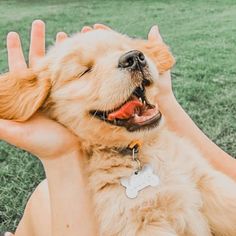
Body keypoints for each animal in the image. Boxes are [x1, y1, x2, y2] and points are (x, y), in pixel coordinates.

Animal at [0, 28, 236, 235]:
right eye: (84, 70)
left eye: (124, 47)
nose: (134, 57)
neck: (139, 150)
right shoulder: (141, 223)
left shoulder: (206, 180)